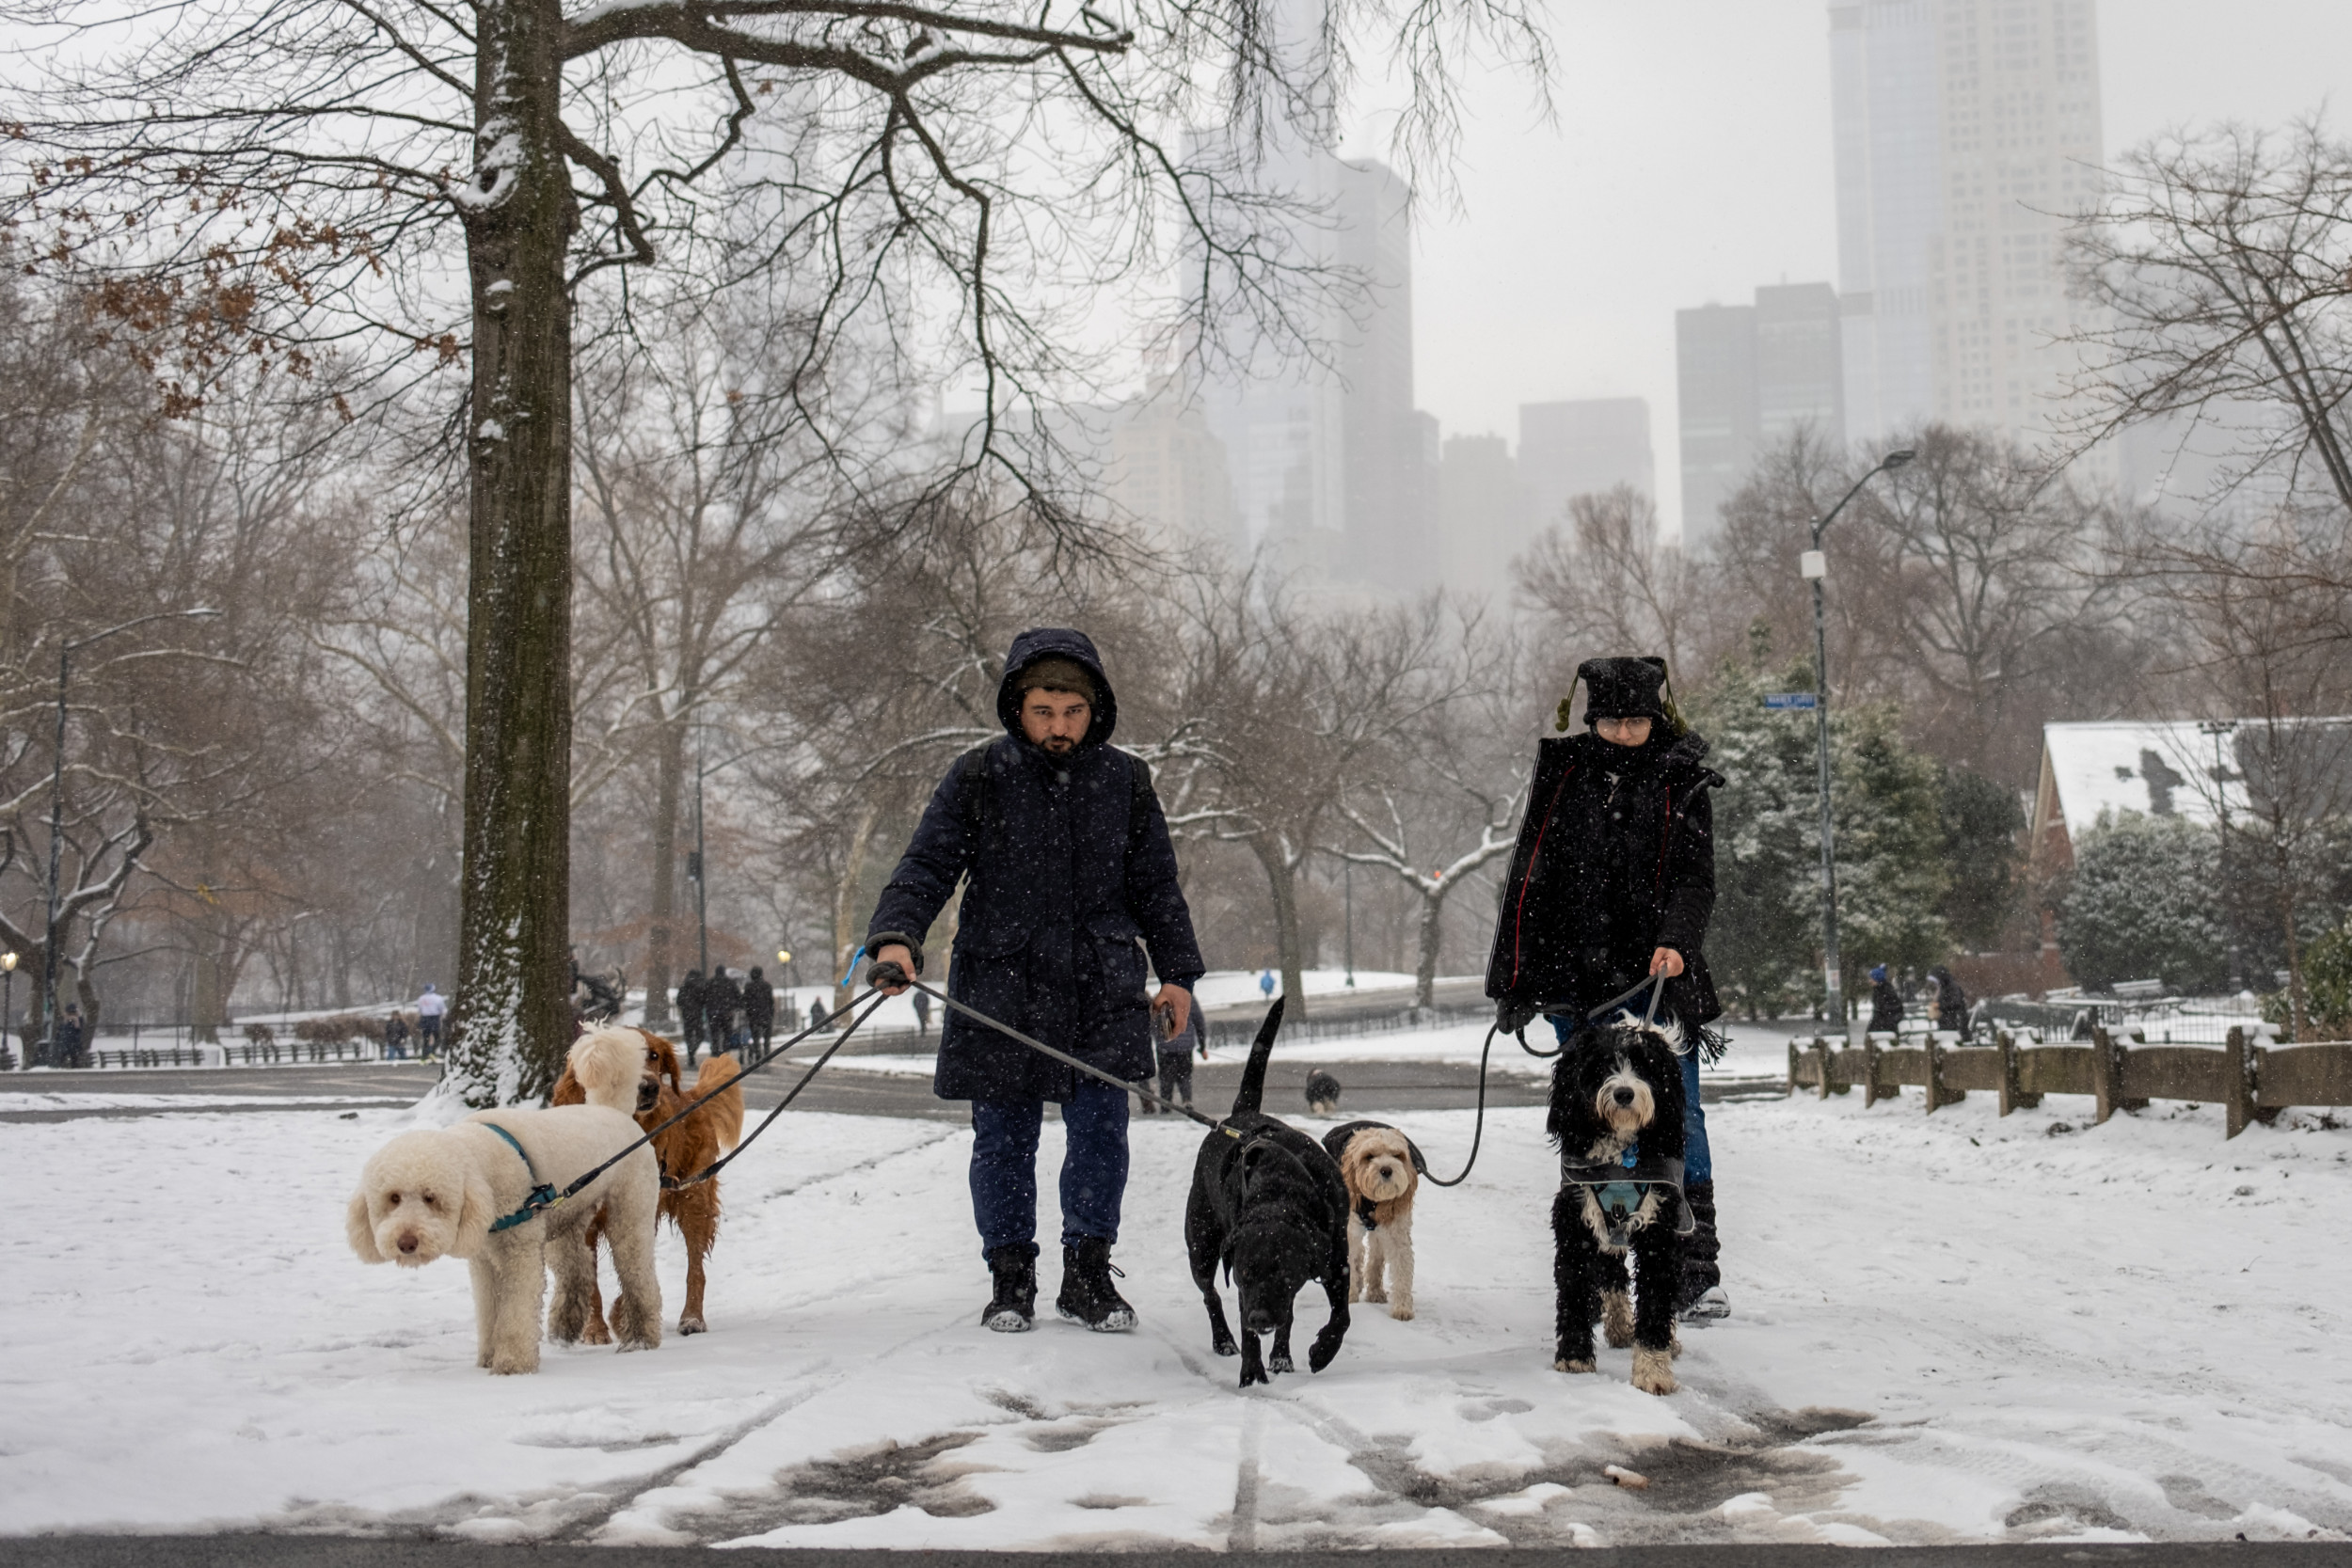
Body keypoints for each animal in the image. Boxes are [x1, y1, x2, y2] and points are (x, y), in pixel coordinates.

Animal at [341, 1029, 659, 1372]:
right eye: (394, 1198)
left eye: (431, 1198)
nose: (406, 1242)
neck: (483, 1164)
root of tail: (613, 1110)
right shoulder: (483, 1257)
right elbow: (489, 1309)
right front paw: (487, 1358)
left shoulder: (519, 1250)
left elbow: (516, 1310)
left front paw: (512, 1363)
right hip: (566, 1217)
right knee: (578, 1268)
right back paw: (565, 1327)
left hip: (630, 1211)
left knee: (639, 1274)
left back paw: (642, 1337)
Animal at [1185, 1001, 1355, 1391]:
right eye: (1245, 1272)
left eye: (1283, 1273)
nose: (1261, 1317)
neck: (1281, 1192)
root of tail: (1240, 1114)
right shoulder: (1241, 1282)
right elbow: (1244, 1324)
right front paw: (1251, 1371)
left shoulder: (1336, 1255)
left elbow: (1342, 1315)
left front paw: (1322, 1351)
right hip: (1201, 1244)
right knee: (1210, 1294)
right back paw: (1224, 1340)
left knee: (1286, 1314)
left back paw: (1281, 1355)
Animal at [1317, 1114, 1421, 1325]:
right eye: (1369, 1156)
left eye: (1397, 1155)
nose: (1387, 1170)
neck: (1373, 1201)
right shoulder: (1349, 1230)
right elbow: (1349, 1260)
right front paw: (1349, 1296)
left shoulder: (1397, 1233)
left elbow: (1402, 1269)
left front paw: (1403, 1308)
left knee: (1375, 1255)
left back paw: (1375, 1291)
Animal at [1543, 1020, 1693, 1401]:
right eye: (1602, 1066)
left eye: (1643, 1065)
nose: (1624, 1093)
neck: (1621, 1157)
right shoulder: (1575, 1219)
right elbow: (1574, 1285)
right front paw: (1574, 1356)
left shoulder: (1659, 1229)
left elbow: (1656, 1297)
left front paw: (1653, 1372)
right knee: (1611, 1271)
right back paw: (1621, 1325)